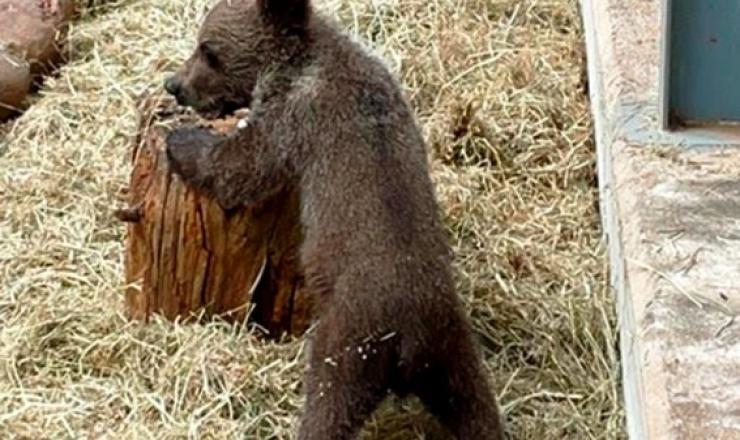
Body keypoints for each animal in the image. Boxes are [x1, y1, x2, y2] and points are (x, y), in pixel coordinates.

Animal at [163, 0, 505, 439]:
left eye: (208, 49)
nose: (175, 85)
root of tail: (412, 340)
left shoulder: (293, 119)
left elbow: (242, 168)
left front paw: (181, 141)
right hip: (453, 351)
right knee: (475, 406)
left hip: (351, 340)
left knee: (329, 403)